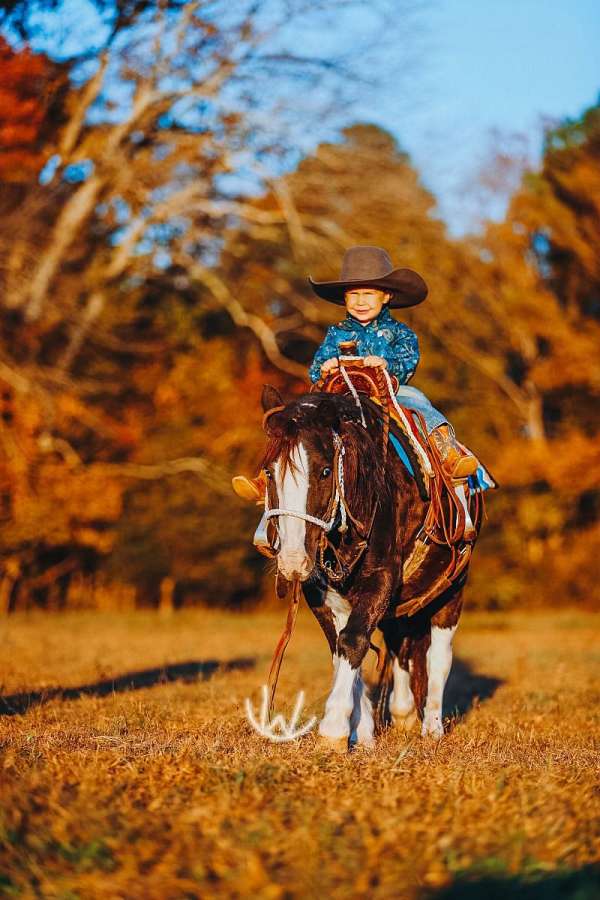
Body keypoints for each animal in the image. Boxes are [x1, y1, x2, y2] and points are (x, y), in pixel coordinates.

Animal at [258, 384, 480, 750]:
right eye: (268, 472)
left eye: (325, 471)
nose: (292, 561)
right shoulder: (322, 594)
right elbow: (342, 648)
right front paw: (361, 732)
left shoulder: (382, 579)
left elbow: (353, 640)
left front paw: (333, 728)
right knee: (401, 645)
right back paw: (403, 712)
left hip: (452, 591)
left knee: (438, 656)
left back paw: (431, 727)